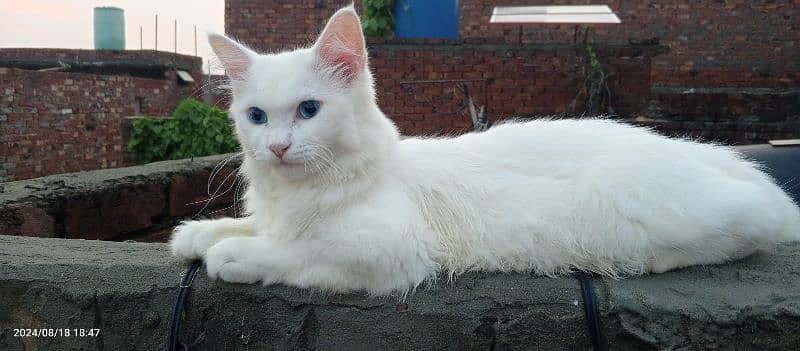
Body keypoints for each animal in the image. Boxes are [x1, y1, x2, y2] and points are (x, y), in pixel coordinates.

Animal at [172, 5, 800, 296]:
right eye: (256, 117)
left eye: (308, 110)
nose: (277, 147)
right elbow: (253, 227)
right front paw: (199, 234)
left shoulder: (389, 251)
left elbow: (292, 252)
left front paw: (232, 255)